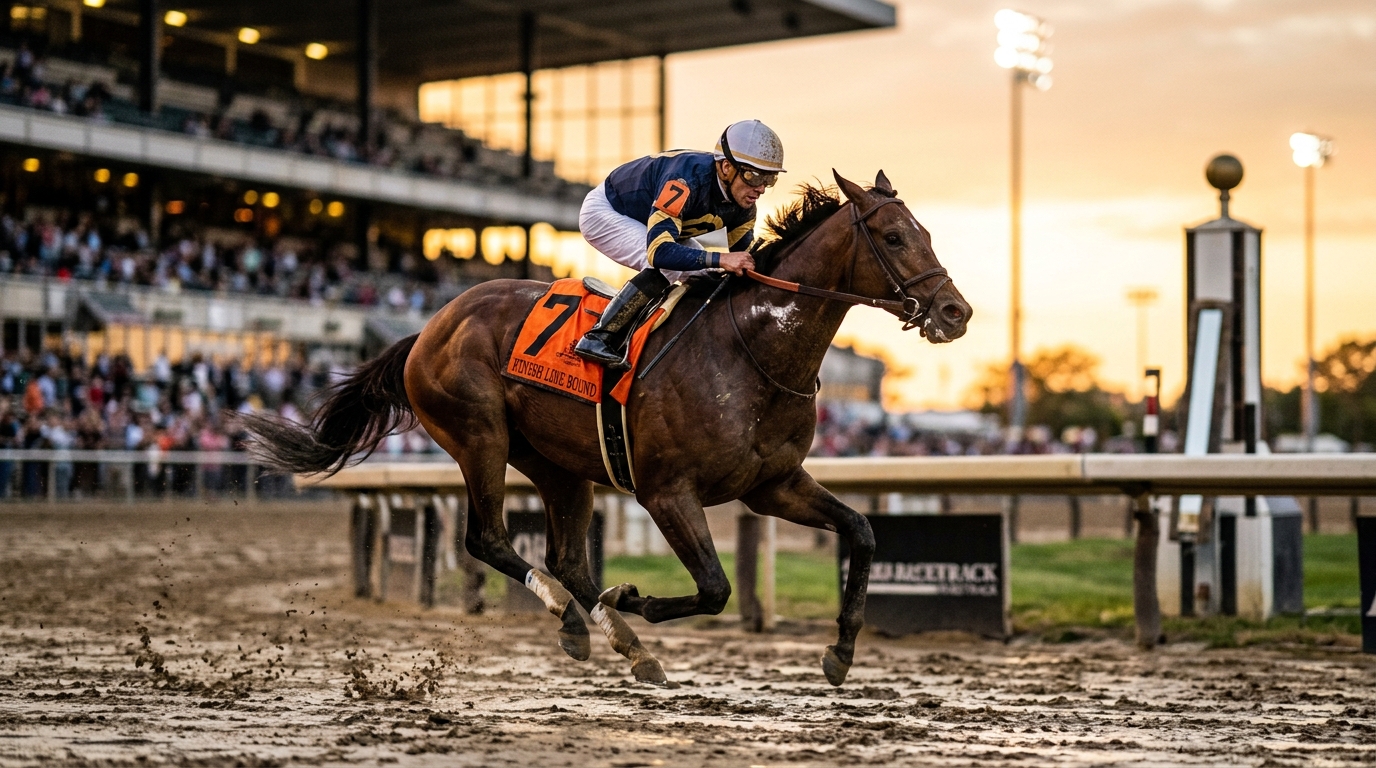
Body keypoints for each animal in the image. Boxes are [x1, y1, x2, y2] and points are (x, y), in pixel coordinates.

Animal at [242, 170, 972, 687]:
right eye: (895, 237)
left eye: (929, 233)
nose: (955, 312)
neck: (753, 349)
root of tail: (429, 327)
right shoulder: (666, 491)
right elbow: (715, 587)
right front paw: (637, 596)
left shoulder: (774, 484)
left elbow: (863, 531)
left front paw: (842, 649)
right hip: (480, 436)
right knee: (490, 539)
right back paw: (589, 620)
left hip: (559, 464)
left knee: (564, 555)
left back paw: (619, 639)